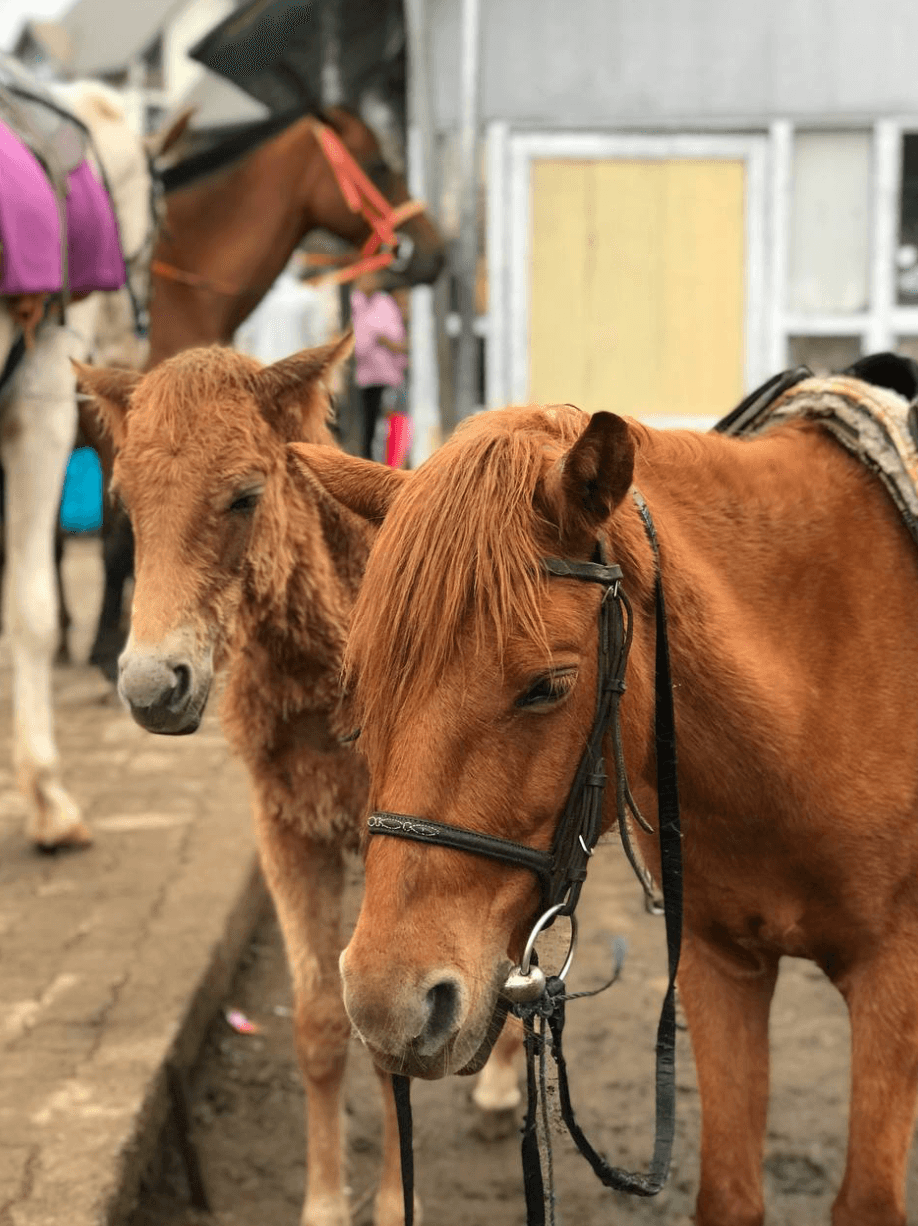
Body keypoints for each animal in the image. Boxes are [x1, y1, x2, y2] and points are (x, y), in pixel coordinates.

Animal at [75, 339, 517, 1226]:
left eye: (245, 495)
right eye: (126, 504)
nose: (150, 688)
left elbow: (391, 1030)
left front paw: (394, 1202)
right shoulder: (285, 833)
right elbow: (318, 1023)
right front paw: (323, 1201)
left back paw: (501, 1089)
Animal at [287, 389, 918, 1226]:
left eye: (548, 687)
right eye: (360, 688)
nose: (388, 1005)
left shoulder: (894, 979)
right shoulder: (721, 967)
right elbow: (728, 1193)